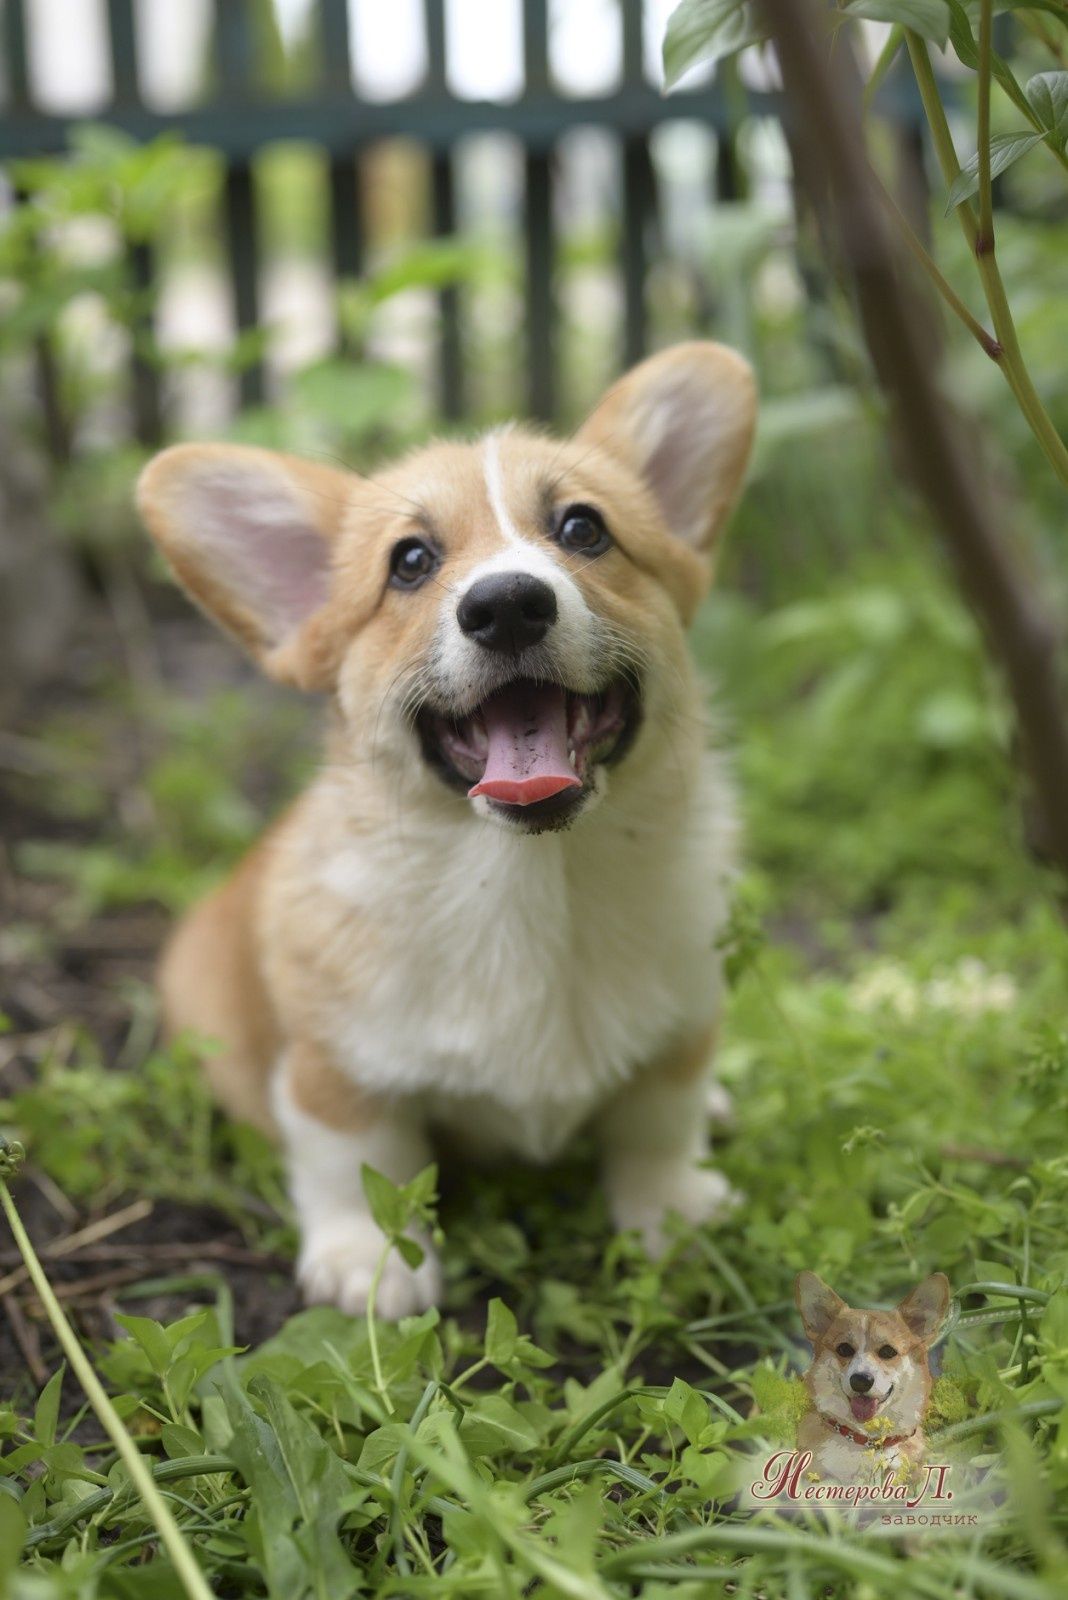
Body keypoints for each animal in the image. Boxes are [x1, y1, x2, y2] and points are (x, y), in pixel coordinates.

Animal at [139, 344, 757, 1318]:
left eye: (584, 529)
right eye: (410, 561)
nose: (506, 605)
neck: (530, 884)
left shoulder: (684, 1024)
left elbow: (658, 1119)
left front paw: (672, 1210)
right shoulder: (333, 1073)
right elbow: (362, 1162)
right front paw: (369, 1265)